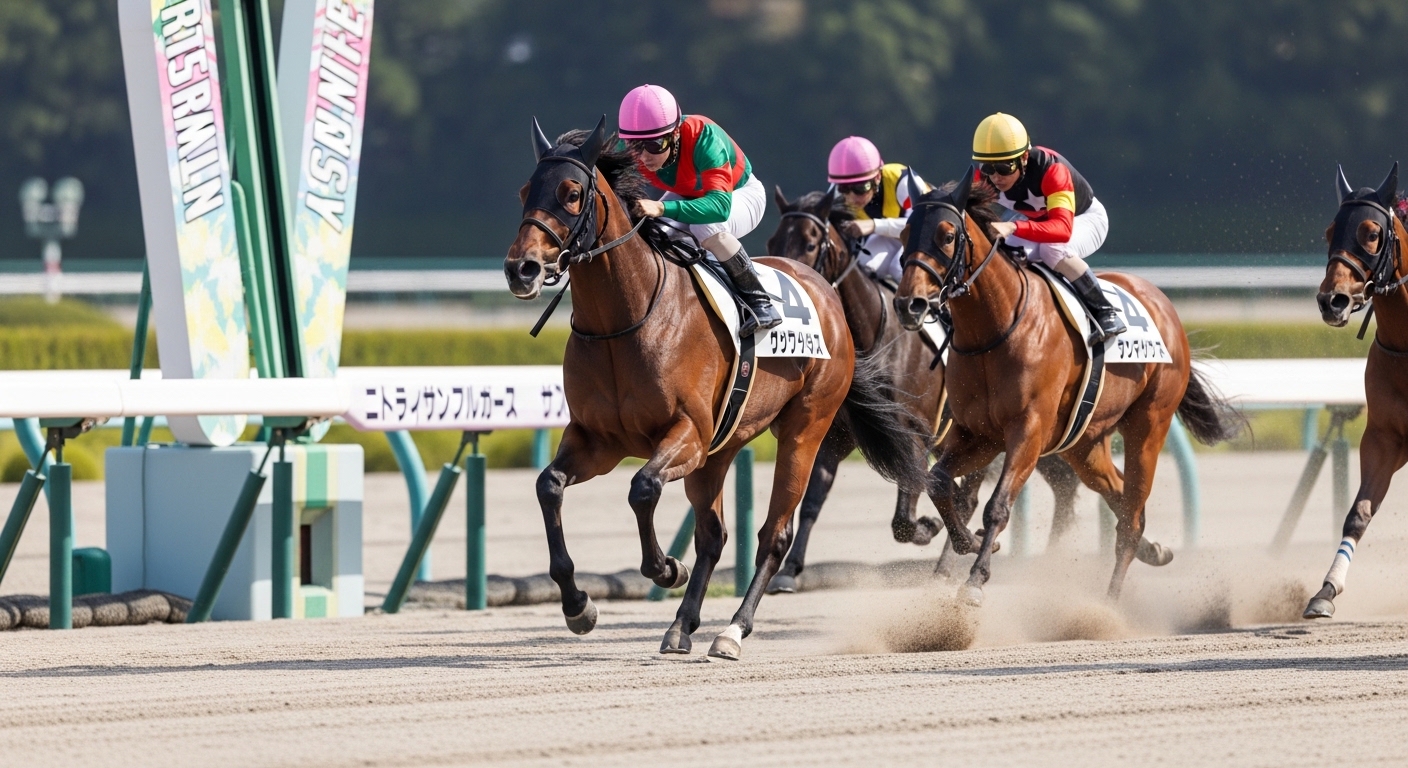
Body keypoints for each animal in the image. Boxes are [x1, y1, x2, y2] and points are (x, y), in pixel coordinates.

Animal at [504, 117, 931, 659]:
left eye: (572, 193)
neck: (624, 319)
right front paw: (579, 605)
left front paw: (666, 568)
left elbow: (642, 488)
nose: (521, 269)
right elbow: (549, 485)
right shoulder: (598, 440)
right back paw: (680, 627)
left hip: (803, 430)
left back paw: (732, 630)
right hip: (723, 446)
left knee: (774, 534)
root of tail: (828, 296)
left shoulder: (686, 433)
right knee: (714, 534)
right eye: (525, 191)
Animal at [765, 188, 1083, 590]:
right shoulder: (835, 434)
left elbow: (905, 516)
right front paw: (789, 571)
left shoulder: (916, 431)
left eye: (809, 244)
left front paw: (927, 527)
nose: (786, 287)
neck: (877, 338)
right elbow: (811, 501)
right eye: (773, 242)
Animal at [892, 170, 1243, 604]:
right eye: (904, 234)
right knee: (1119, 494)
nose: (909, 305)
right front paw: (973, 544)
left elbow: (997, 505)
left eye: (946, 235)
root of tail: (1164, 305)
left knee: (1131, 514)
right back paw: (1154, 550)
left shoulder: (1028, 430)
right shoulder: (978, 432)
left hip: (1149, 425)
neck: (994, 329)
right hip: (1084, 442)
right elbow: (941, 483)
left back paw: (1110, 600)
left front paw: (975, 579)